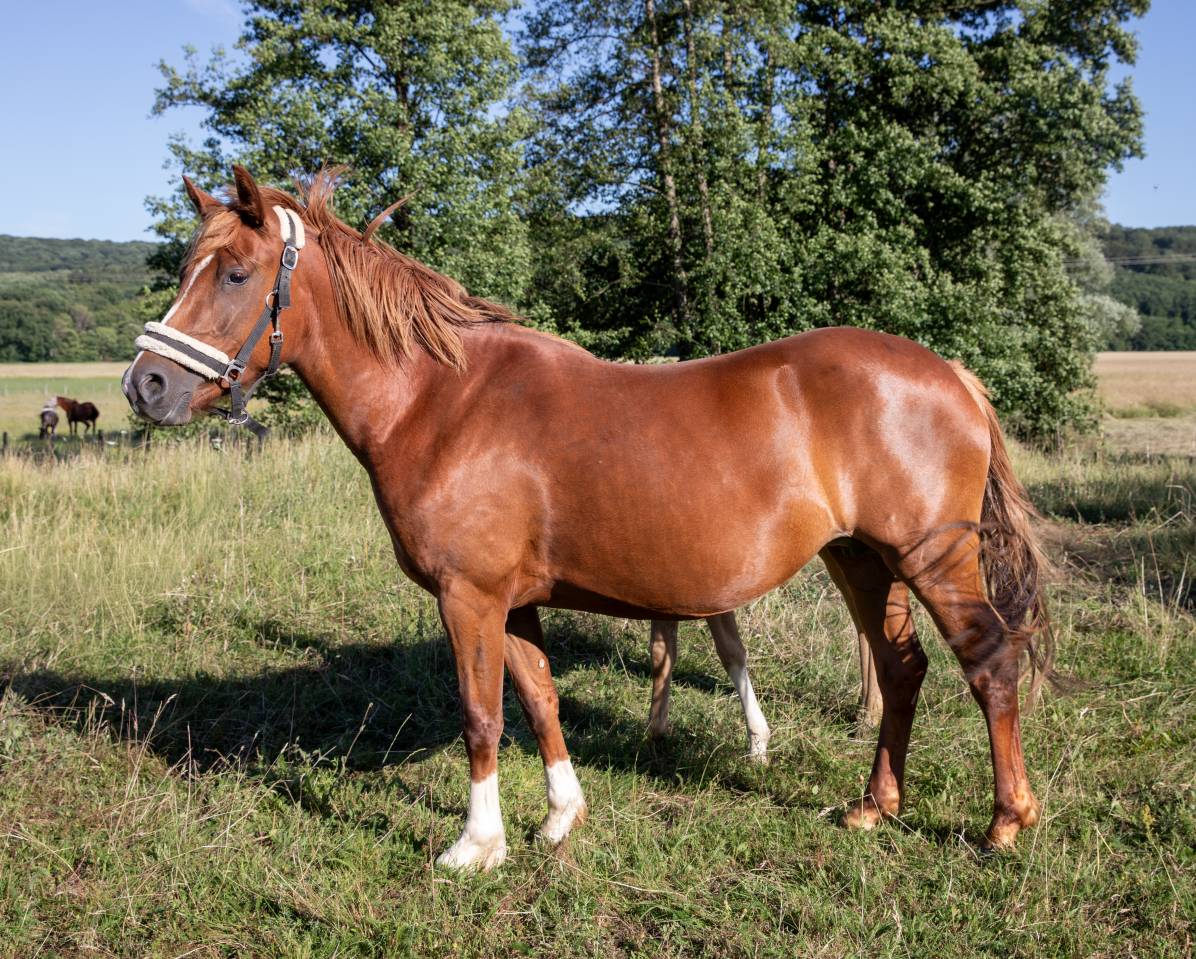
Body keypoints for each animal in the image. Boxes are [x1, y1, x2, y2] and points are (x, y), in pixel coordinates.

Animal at [124, 167, 1055, 871]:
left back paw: (1006, 820)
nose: (145, 386)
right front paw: (560, 816)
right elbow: (539, 700)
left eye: (234, 273)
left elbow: (482, 715)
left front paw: (476, 845)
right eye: (187, 268)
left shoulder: (469, 596)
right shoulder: (514, 602)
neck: (442, 400)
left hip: (931, 560)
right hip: (861, 560)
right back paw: (874, 805)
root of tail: (951, 372)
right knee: (902, 669)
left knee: (987, 660)